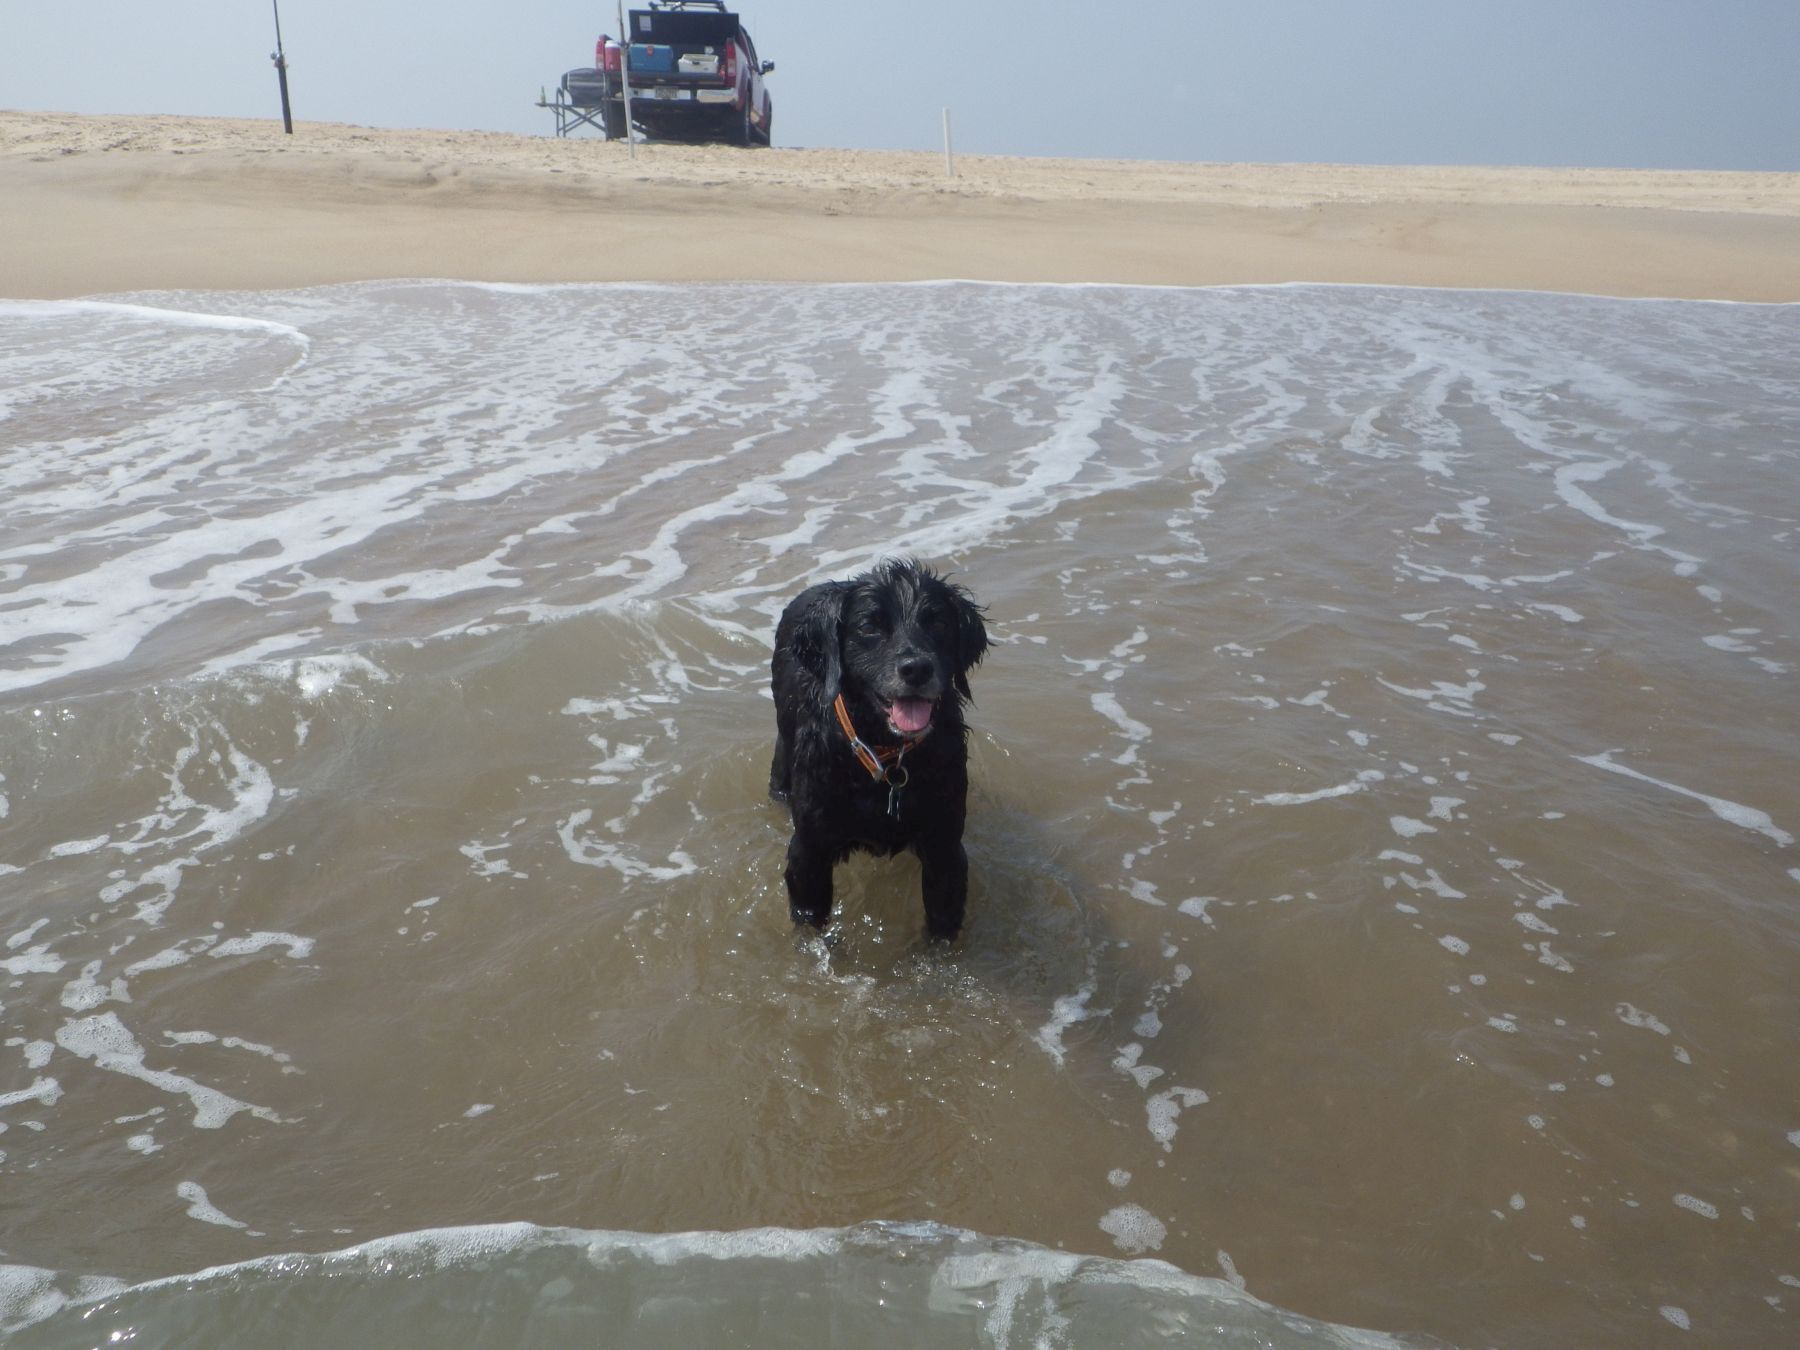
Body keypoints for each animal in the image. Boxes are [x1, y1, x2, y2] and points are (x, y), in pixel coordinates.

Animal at [770, 561, 993, 943]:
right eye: (869, 627)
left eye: (938, 623)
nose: (917, 668)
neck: (885, 755)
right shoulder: (809, 851)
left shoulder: (945, 846)